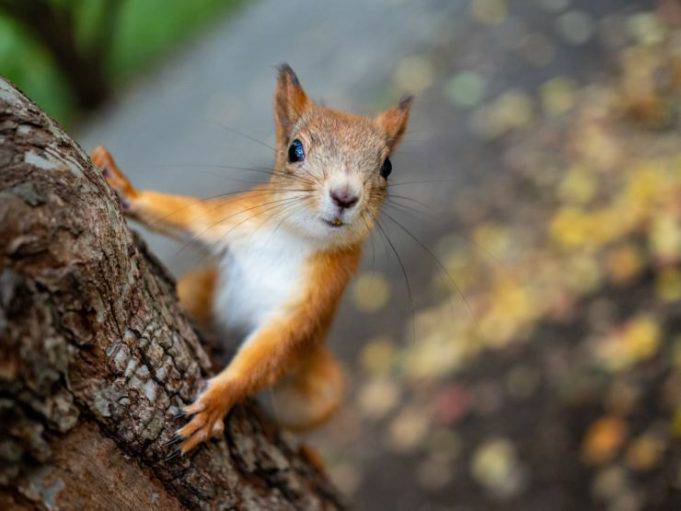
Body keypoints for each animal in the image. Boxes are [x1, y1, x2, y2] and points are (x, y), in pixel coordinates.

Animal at [91, 64, 412, 455]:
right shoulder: (233, 220)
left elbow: (272, 350)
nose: (345, 195)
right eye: (295, 149)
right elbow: (190, 218)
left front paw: (216, 402)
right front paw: (120, 184)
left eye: (387, 166)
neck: (294, 238)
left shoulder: (316, 299)